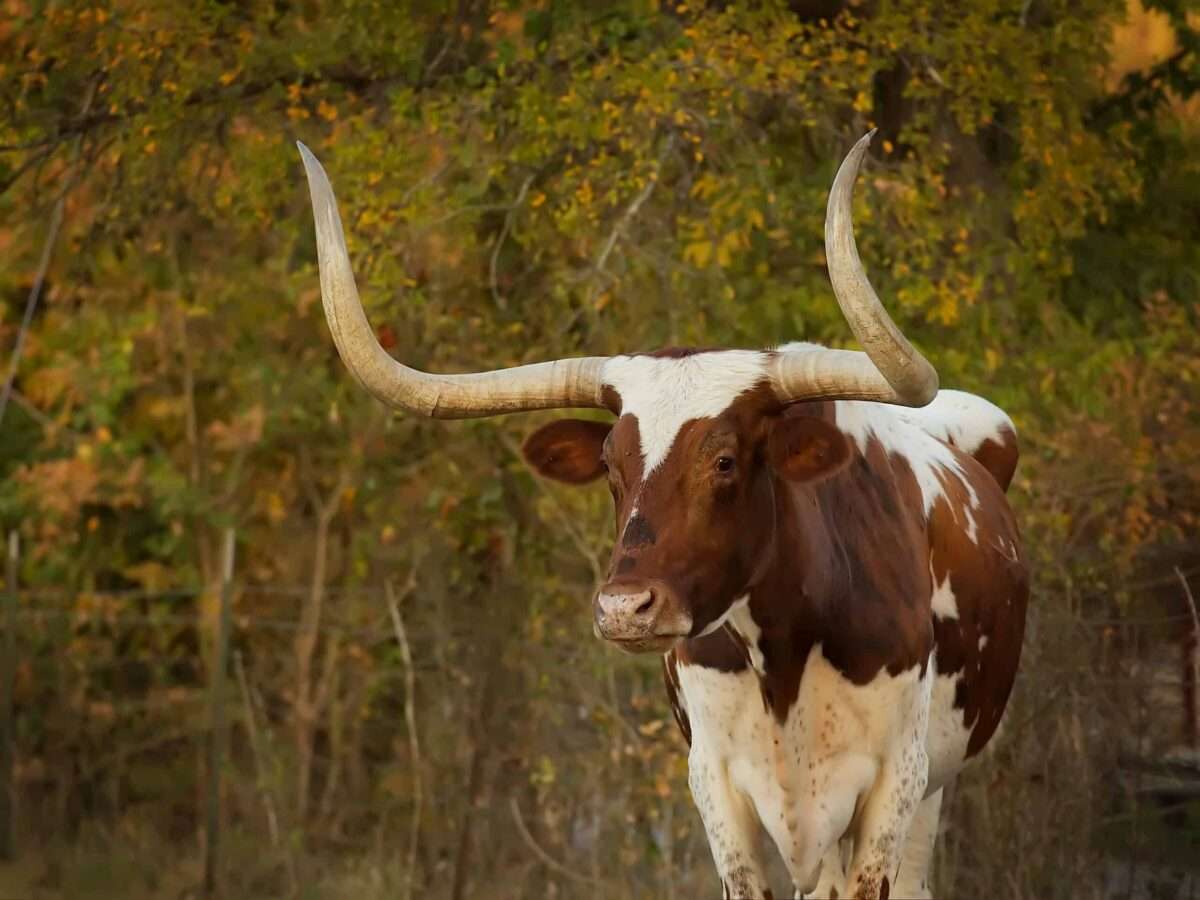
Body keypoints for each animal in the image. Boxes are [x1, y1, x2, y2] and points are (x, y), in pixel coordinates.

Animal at [297, 132, 1029, 900]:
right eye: (611, 467)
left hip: (928, 791)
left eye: (726, 460)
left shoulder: (894, 784)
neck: (787, 654)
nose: (625, 608)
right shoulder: (717, 787)